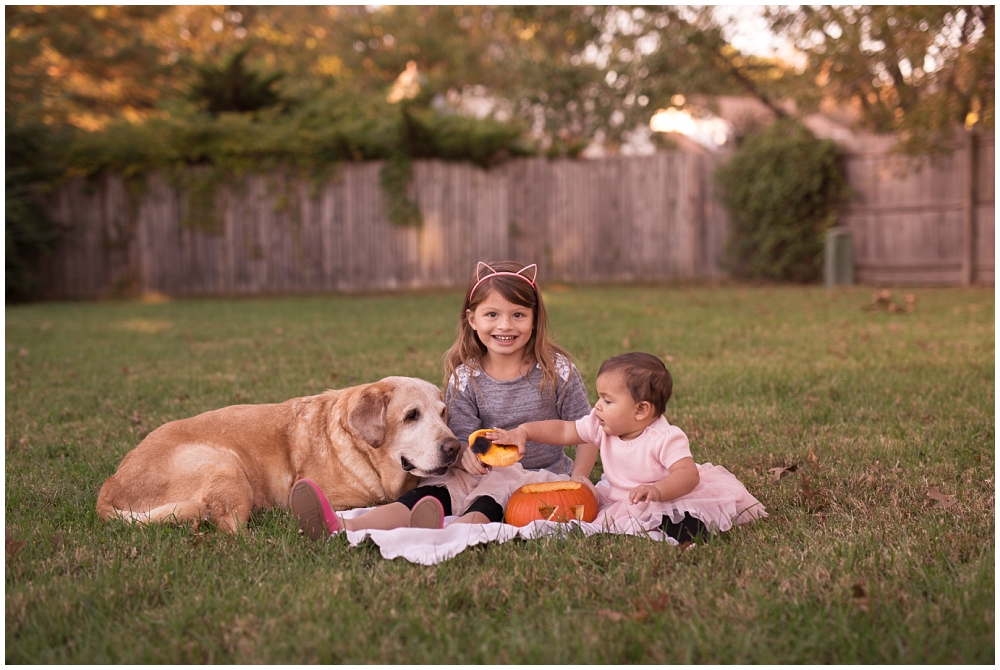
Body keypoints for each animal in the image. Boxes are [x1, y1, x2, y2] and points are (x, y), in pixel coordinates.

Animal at [94, 378, 460, 536]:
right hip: (226, 464)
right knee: (229, 528)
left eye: (443, 413)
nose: (455, 447)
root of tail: (110, 485)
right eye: (412, 416)